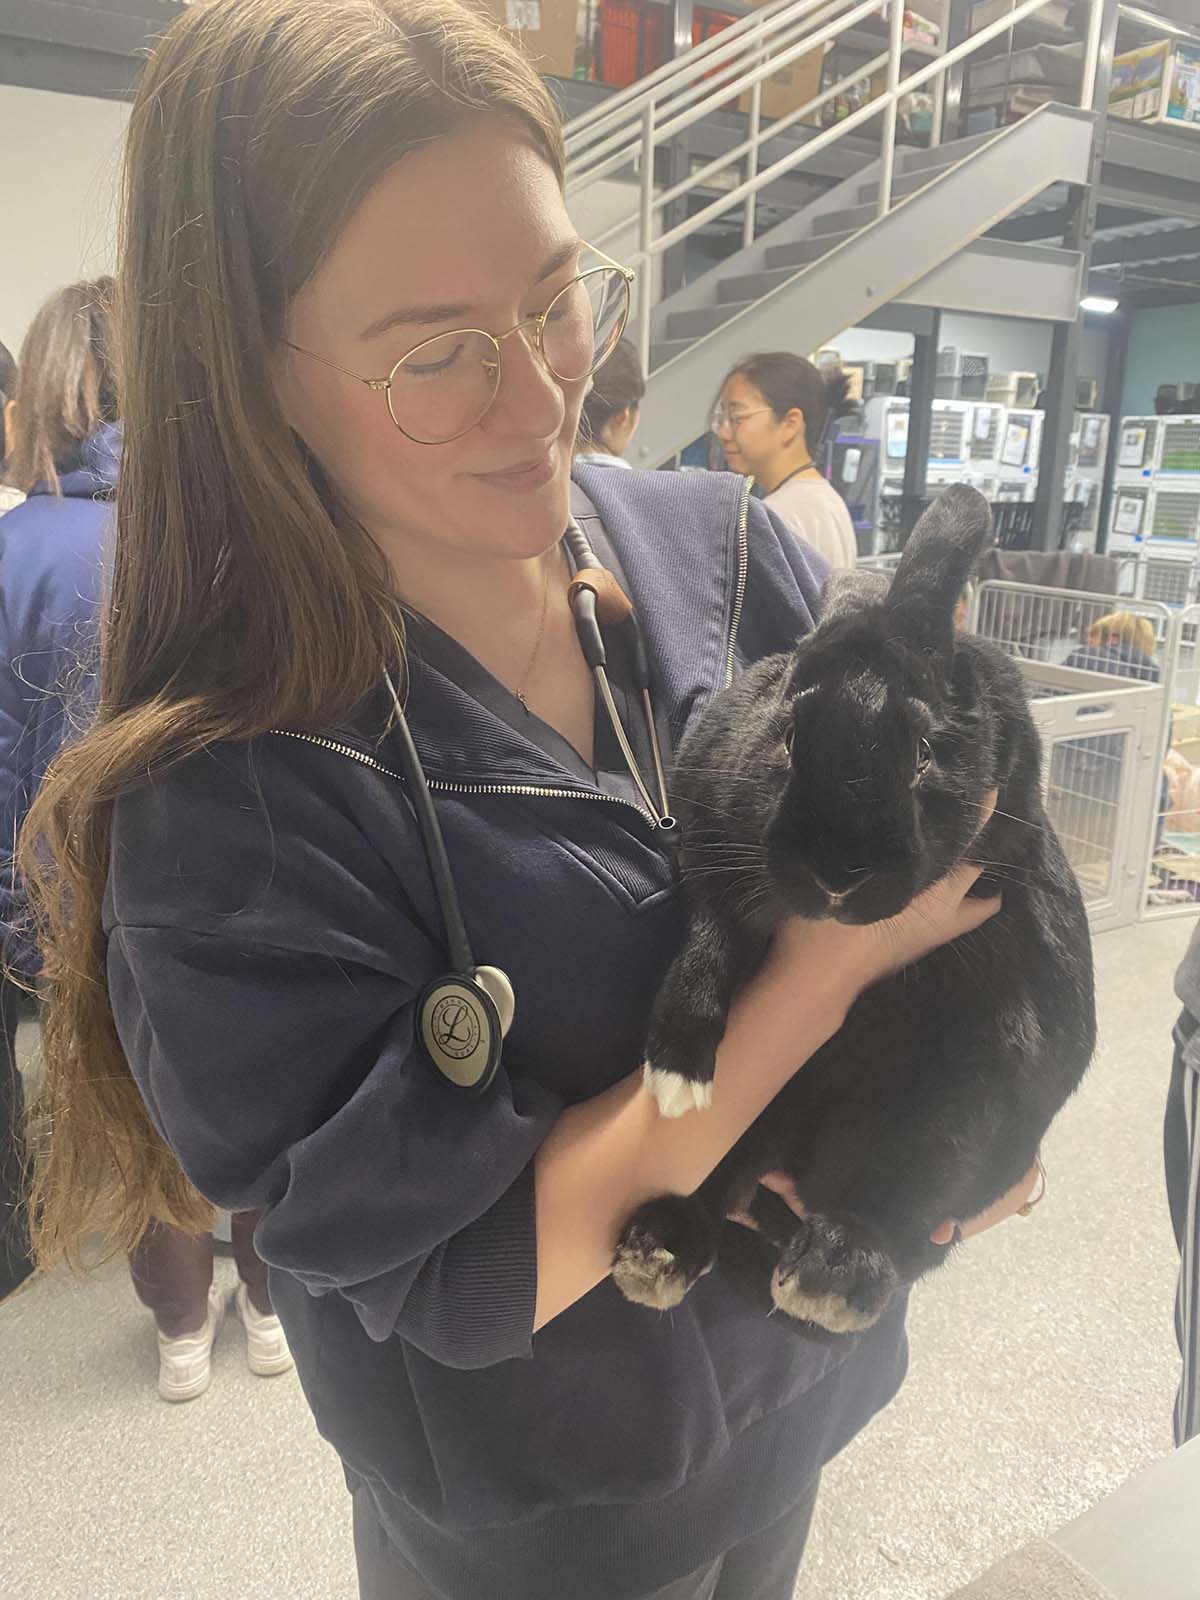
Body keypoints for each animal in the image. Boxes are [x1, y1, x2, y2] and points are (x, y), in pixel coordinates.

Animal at [613, 485, 1095, 1334]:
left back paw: (830, 1276)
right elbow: (709, 944)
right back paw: (661, 1250)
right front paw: (676, 1077)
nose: (836, 876)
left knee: (900, 1210)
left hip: (962, 1099)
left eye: (925, 752)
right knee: (717, 1188)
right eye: (787, 738)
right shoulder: (714, 859)